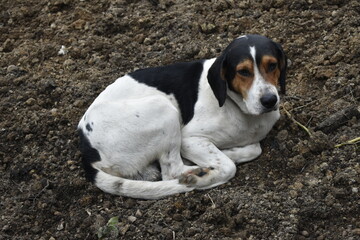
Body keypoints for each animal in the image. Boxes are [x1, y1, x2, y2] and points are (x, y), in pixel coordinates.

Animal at [78, 33, 286, 199]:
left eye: (272, 65)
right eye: (243, 71)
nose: (269, 100)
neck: (237, 106)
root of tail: (87, 149)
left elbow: (255, 148)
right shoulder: (189, 139)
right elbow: (229, 166)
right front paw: (204, 174)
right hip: (163, 109)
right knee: (172, 172)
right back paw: (195, 173)